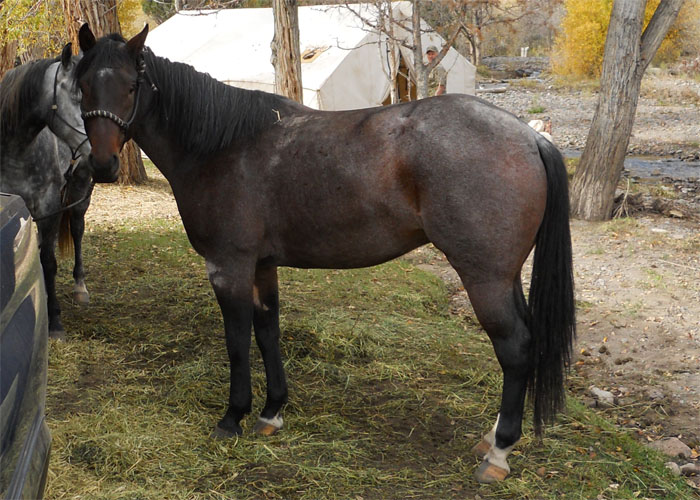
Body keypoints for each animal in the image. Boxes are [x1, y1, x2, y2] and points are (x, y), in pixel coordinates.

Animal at [0, 43, 119, 339]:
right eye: (80, 97)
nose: (107, 159)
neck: (13, 152)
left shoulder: (48, 205)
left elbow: (50, 261)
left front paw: (54, 319)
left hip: (78, 194)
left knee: (76, 231)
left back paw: (80, 287)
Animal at [75, 24, 575, 483]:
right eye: (81, 85)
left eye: (132, 85)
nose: (102, 165)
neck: (221, 146)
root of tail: (529, 137)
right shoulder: (261, 266)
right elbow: (267, 332)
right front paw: (271, 412)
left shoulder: (228, 267)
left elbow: (237, 341)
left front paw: (232, 417)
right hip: (505, 277)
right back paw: (491, 439)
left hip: (485, 278)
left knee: (515, 347)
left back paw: (499, 452)